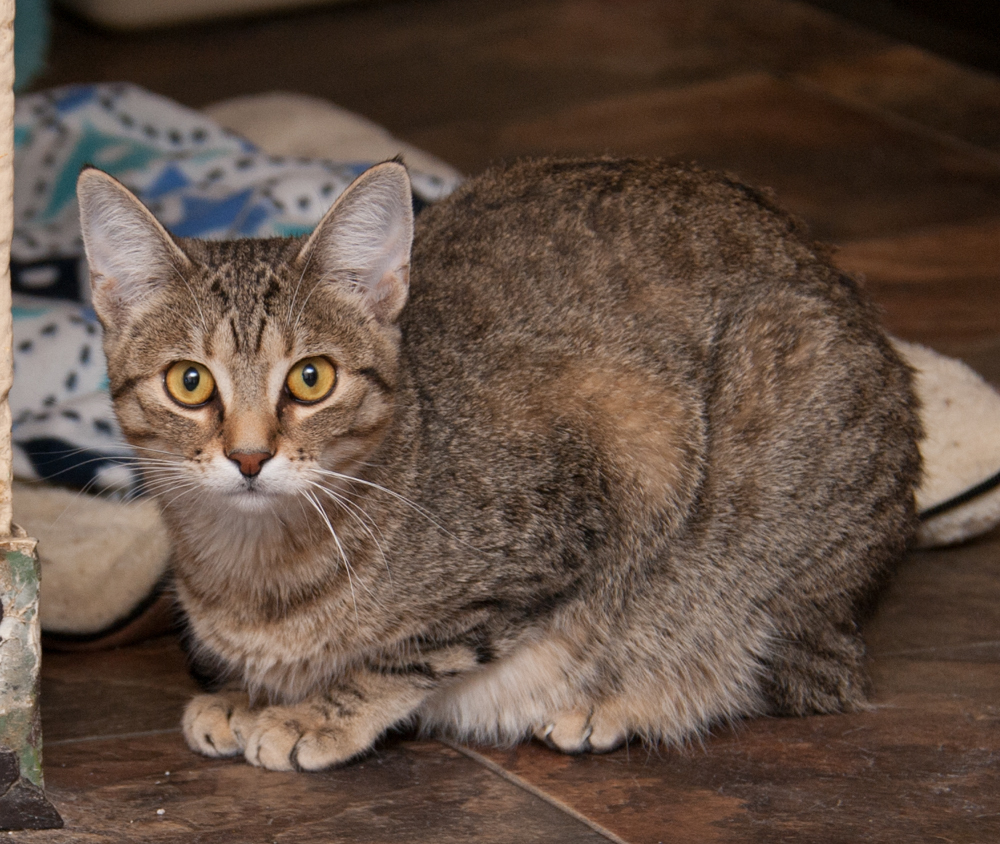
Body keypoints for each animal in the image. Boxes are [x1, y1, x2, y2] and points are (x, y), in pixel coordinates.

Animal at [76, 158, 920, 772]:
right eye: (190, 382)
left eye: (312, 378)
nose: (250, 455)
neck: (255, 572)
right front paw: (249, 694)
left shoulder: (608, 476)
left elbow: (412, 654)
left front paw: (317, 711)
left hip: (772, 443)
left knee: (780, 669)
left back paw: (628, 702)